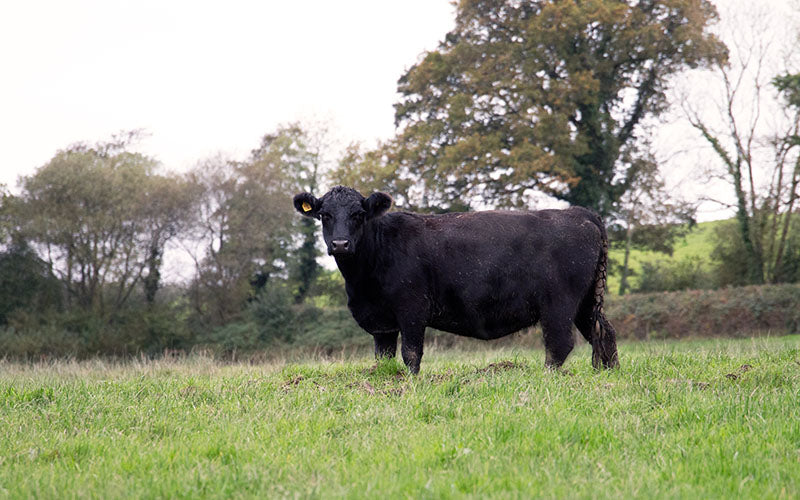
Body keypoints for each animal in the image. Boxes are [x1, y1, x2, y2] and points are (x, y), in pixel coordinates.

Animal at [294, 186, 620, 374]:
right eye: (324, 215)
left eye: (359, 214)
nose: (340, 244)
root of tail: (580, 213)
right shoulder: (381, 322)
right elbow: (383, 358)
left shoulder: (412, 308)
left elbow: (411, 353)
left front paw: (411, 384)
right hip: (585, 302)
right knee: (604, 333)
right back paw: (608, 375)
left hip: (558, 304)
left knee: (559, 345)